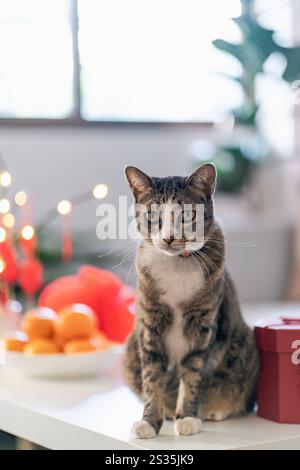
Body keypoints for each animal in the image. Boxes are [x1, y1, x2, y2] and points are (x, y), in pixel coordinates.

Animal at [123, 163, 258, 438]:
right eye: (153, 216)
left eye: (186, 215)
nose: (169, 237)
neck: (177, 264)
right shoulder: (150, 323)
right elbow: (152, 376)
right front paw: (149, 421)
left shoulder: (203, 322)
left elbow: (193, 372)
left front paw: (186, 417)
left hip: (245, 347)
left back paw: (215, 410)